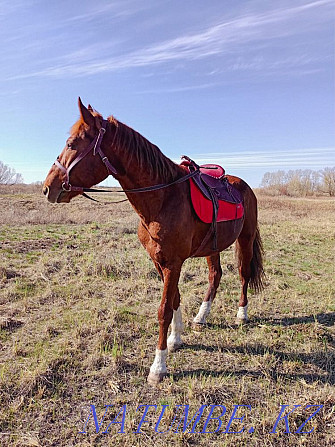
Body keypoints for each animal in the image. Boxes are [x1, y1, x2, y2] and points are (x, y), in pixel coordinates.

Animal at [42, 98, 266, 384]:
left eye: (71, 144)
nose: (48, 188)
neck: (163, 197)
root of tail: (244, 186)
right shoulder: (159, 262)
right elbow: (175, 300)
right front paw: (175, 338)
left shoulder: (173, 263)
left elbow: (163, 311)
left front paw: (158, 366)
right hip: (213, 247)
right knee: (215, 276)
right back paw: (201, 316)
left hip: (245, 239)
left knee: (243, 274)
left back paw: (241, 314)